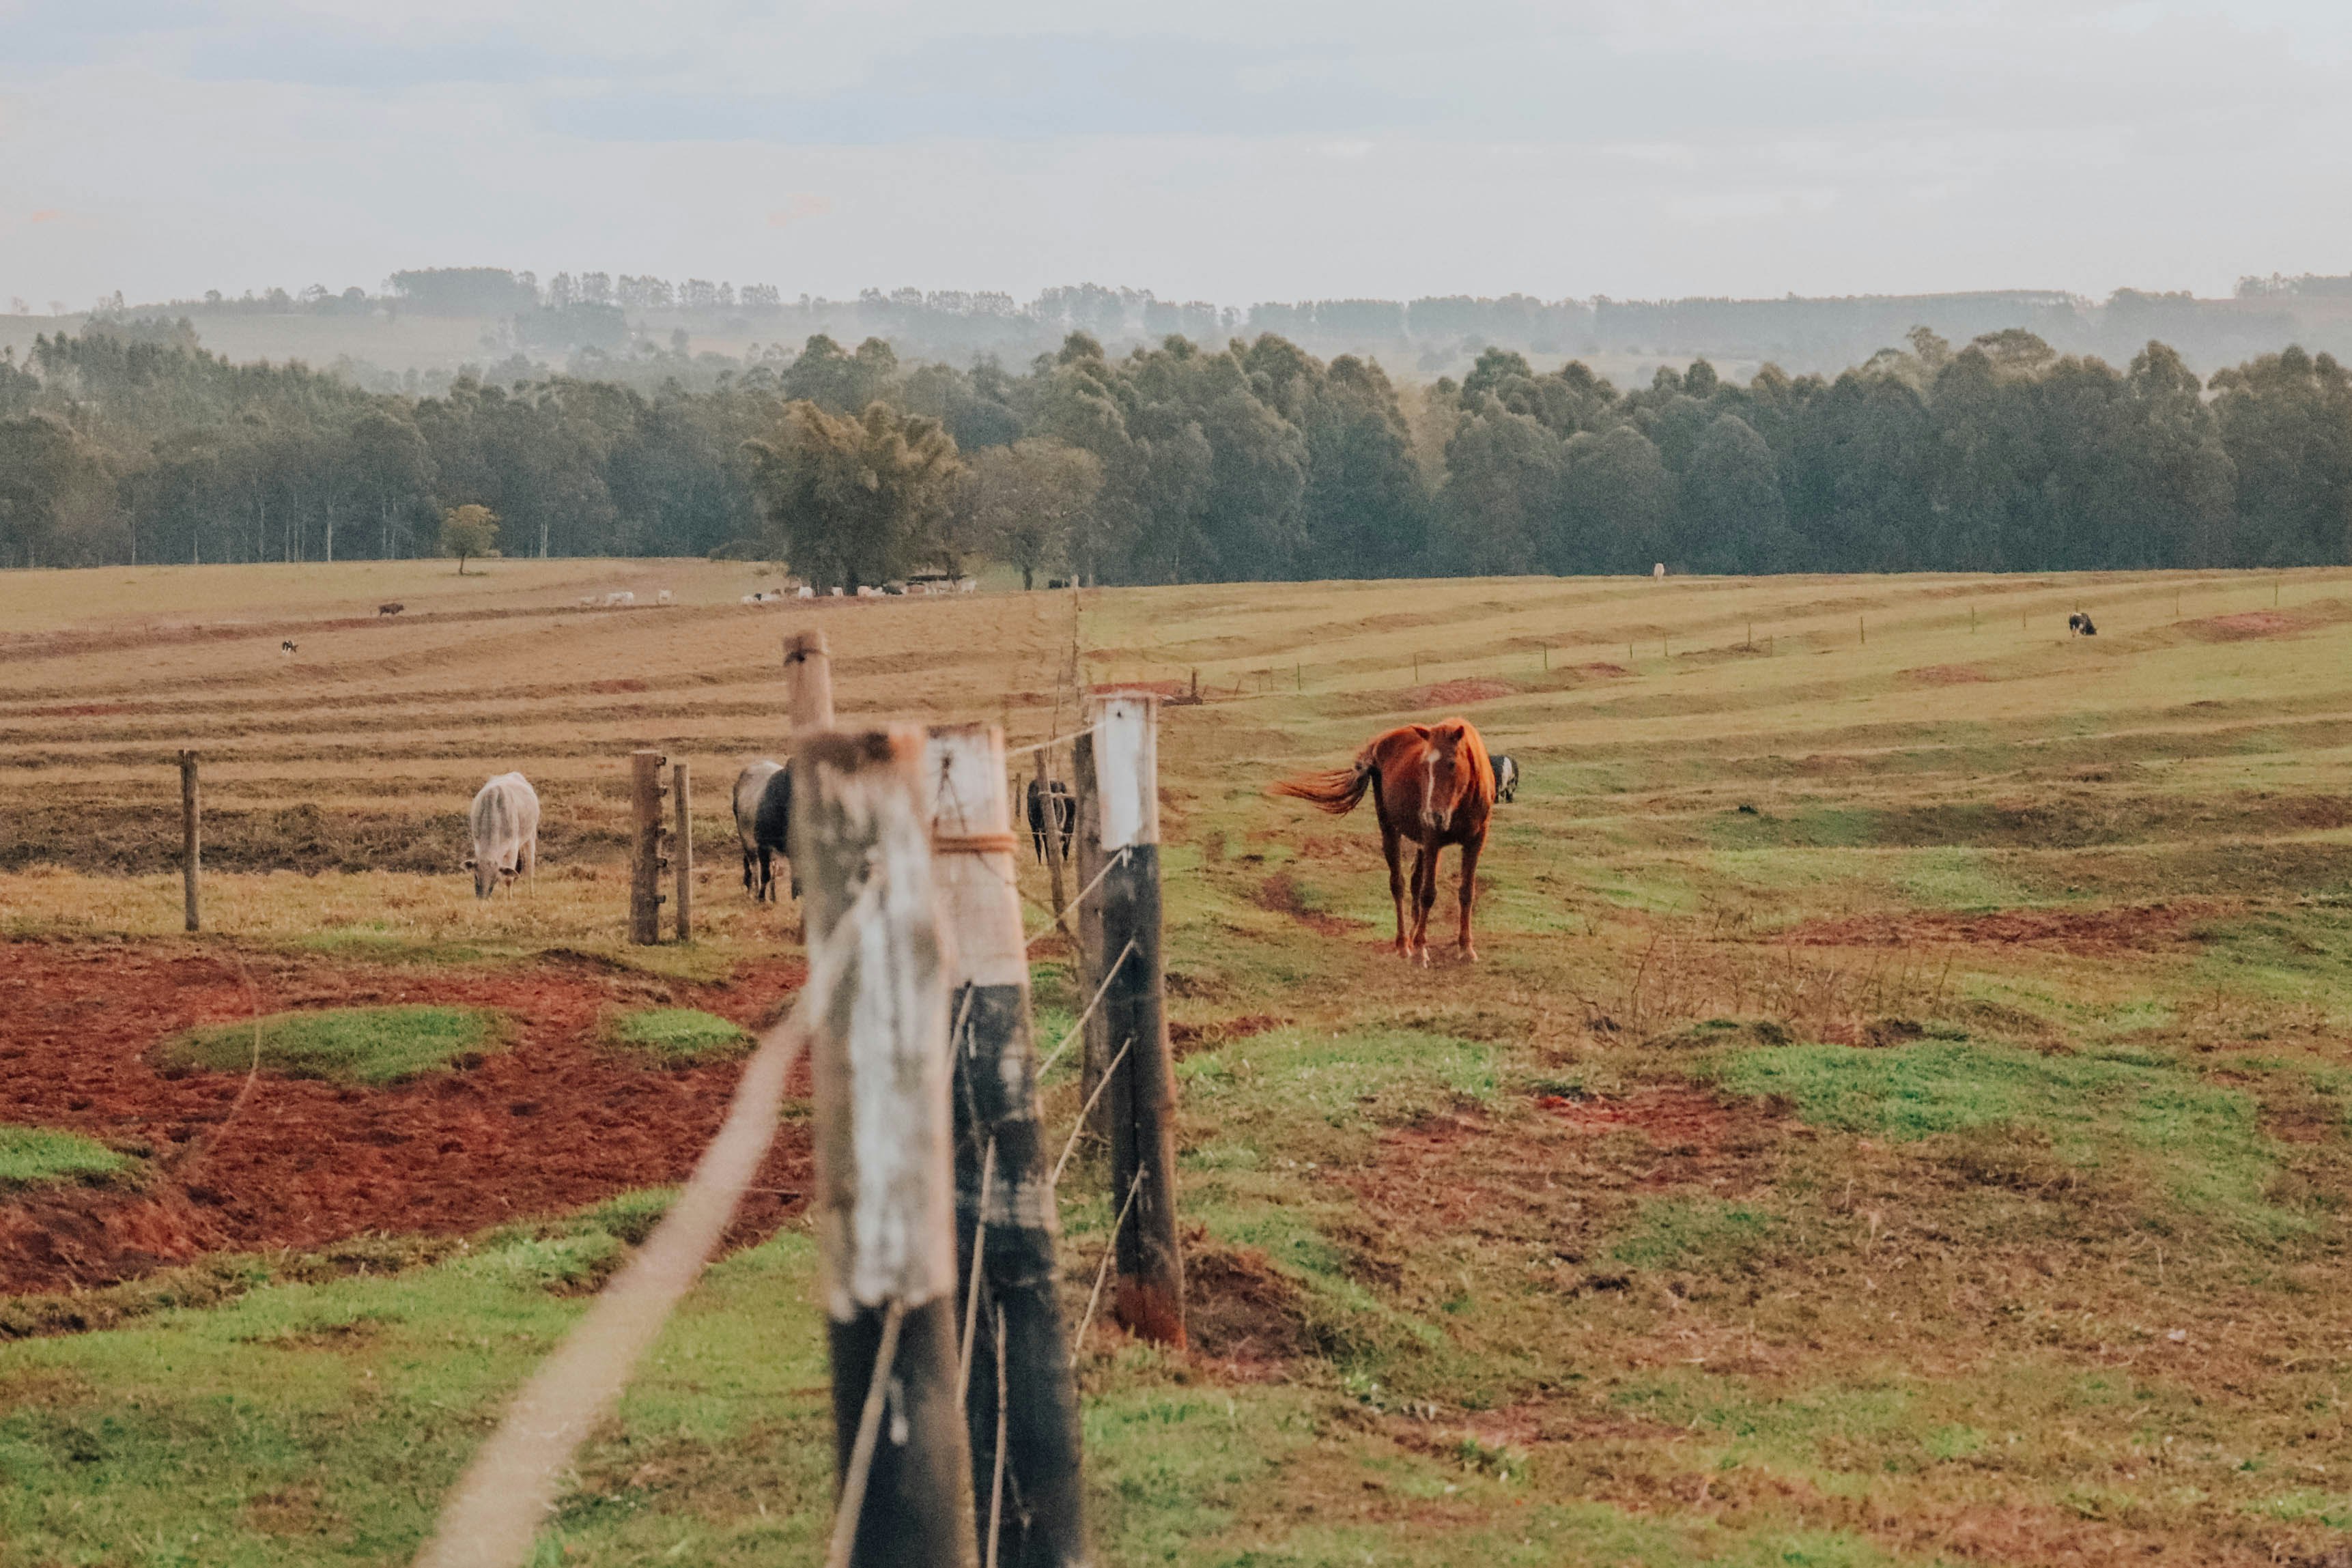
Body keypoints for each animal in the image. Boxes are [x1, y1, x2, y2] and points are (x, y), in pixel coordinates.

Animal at [458, 775, 538, 902]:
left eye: (494, 879)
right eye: (476, 876)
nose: (483, 898)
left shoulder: (513, 849)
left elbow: (508, 879)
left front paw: (509, 898)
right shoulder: (478, 844)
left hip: (531, 836)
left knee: (530, 866)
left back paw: (531, 893)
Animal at [733, 756, 799, 902]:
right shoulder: (763, 845)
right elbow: (765, 874)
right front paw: (761, 898)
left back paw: (773, 896)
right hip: (747, 840)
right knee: (755, 866)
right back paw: (756, 891)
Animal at [1279, 719, 1496, 963]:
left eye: (1451, 763)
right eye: (1424, 766)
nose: (1432, 816)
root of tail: (1381, 742)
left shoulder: (1475, 842)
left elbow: (1466, 892)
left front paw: (1466, 947)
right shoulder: (1433, 840)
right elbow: (1428, 894)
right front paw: (1421, 949)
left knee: (1414, 883)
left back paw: (1411, 938)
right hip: (1390, 829)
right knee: (1398, 885)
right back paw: (1404, 944)